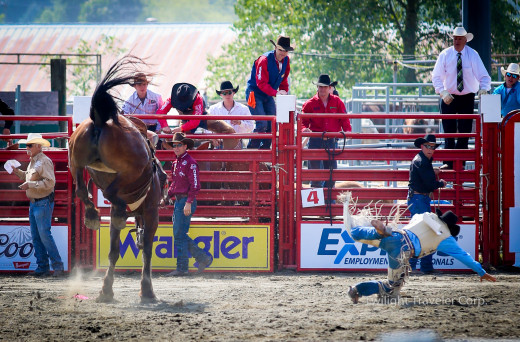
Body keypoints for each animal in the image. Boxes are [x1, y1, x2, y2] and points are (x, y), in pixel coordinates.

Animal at [69, 56, 162, 302]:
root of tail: (101, 120)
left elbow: (113, 252)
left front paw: (106, 290)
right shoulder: (151, 212)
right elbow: (147, 250)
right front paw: (147, 291)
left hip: (75, 159)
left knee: (82, 189)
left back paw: (92, 215)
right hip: (132, 169)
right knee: (111, 193)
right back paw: (113, 213)